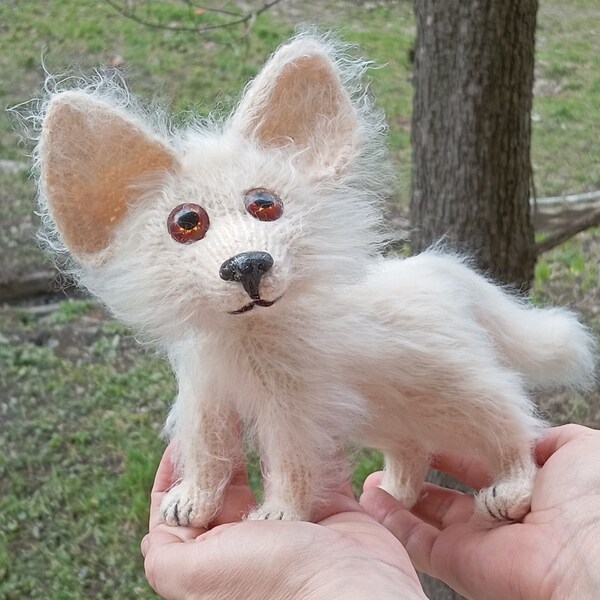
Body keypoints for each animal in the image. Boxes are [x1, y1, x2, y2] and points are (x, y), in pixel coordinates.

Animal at [36, 32, 596, 524]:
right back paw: (393, 496)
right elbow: (207, 452)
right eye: (186, 222)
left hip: (457, 385)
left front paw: (280, 515)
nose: (248, 264)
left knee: (513, 422)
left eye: (265, 204)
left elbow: (291, 463)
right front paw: (191, 503)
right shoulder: (205, 397)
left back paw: (512, 490)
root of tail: (444, 269)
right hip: (388, 406)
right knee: (413, 449)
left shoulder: (294, 406)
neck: (247, 339)